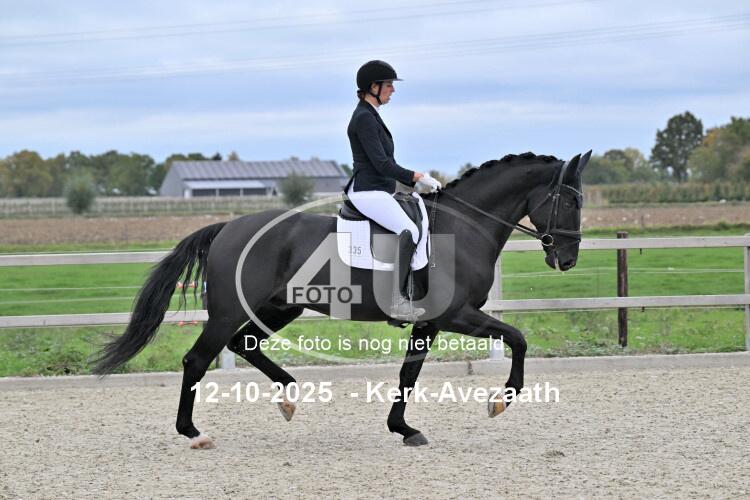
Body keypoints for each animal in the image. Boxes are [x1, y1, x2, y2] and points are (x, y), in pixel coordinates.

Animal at [94, 151, 590, 448]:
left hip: (280, 306)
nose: (566, 259)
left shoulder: (429, 322)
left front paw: (403, 429)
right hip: (231, 311)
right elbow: (518, 337)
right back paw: (194, 433)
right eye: (569, 202)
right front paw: (500, 400)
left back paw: (289, 396)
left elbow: (408, 375)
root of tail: (227, 227)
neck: (464, 228)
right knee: (198, 359)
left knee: (244, 344)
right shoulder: (457, 315)